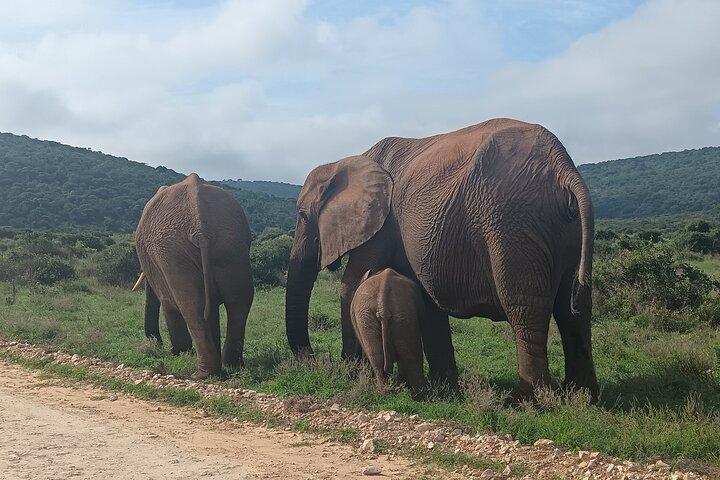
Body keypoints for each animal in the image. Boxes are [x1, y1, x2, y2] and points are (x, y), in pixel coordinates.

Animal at [133, 173, 254, 379]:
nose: (156, 345)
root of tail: (200, 227)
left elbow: (169, 303)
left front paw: (179, 353)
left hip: (173, 253)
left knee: (191, 307)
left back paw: (201, 374)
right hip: (231, 245)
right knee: (238, 304)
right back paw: (232, 366)